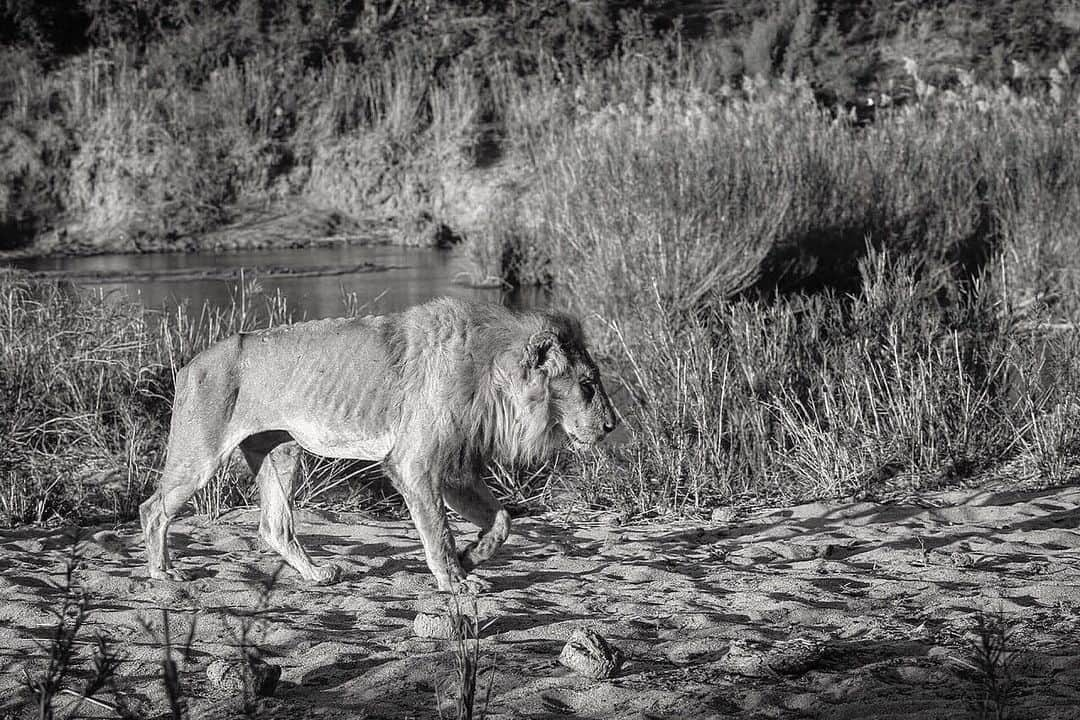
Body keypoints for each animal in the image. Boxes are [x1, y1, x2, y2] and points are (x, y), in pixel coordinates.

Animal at [139, 295, 622, 595]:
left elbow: (501, 521)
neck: (491, 372)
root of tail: (191, 362)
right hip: (200, 453)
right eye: (587, 385)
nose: (613, 425)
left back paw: (318, 575)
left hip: (281, 451)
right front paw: (456, 580)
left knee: (274, 526)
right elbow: (438, 531)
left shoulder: (454, 468)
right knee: (153, 509)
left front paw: (470, 558)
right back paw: (163, 574)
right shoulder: (415, 463)